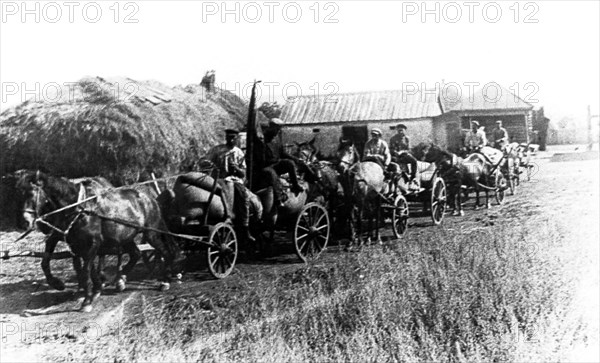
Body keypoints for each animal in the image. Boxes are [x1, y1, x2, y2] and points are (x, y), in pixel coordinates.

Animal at [15, 172, 180, 312]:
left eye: (31, 193)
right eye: (18, 195)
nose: (24, 223)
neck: (80, 208)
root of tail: (151, 199)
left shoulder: (92, 244)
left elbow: (86, 270)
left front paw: (87, 300)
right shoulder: (71, 241)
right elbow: (48, 260)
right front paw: (59, 283)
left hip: (151, 233)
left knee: (165, 251)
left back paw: (165, 281)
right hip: (126, 237)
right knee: (136, 253)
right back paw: (120, 280)